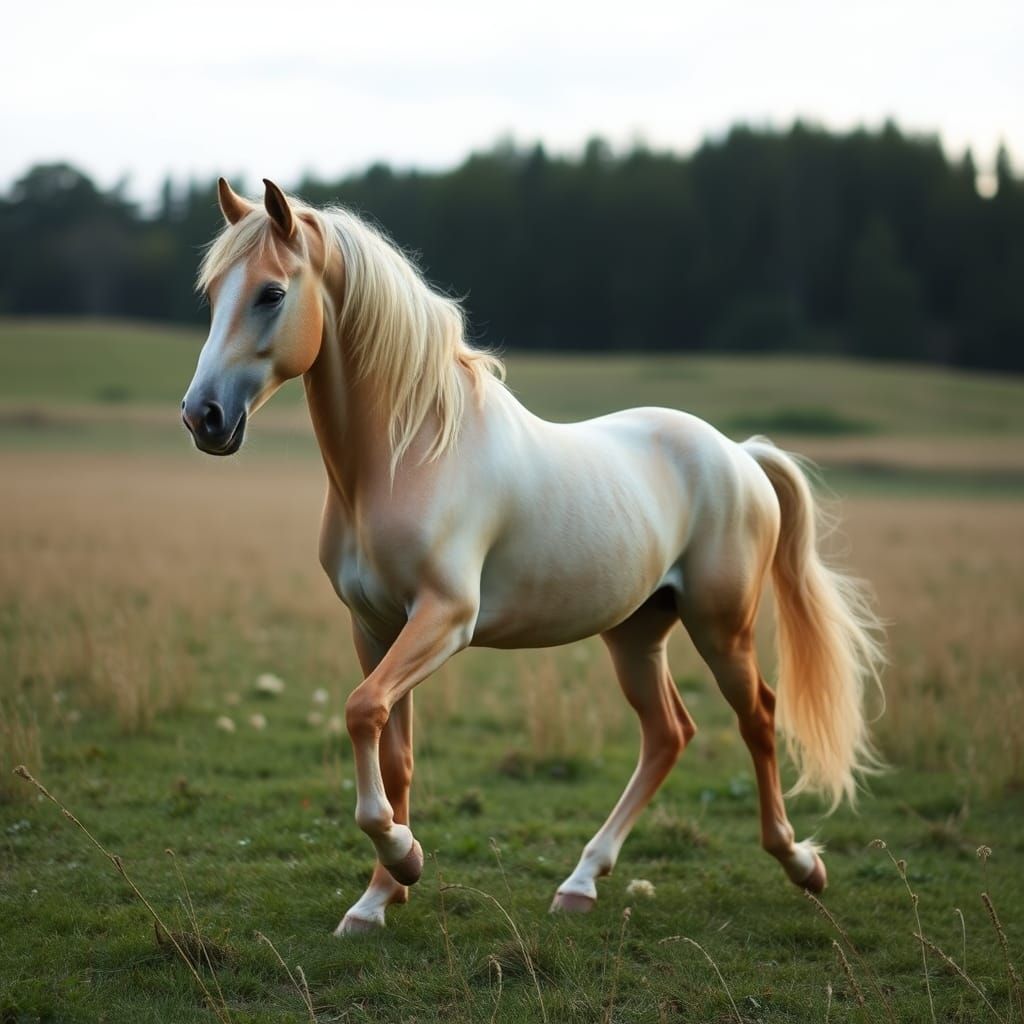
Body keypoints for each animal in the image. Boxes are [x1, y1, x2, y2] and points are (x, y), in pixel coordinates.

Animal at [182, 178, 884, 935]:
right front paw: (378, 898)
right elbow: (392, 752)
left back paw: (800, 863)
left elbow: (361, 713)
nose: (203, 417)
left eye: (271, 293)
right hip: (637, 632)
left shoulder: (445, 619)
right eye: (213, 291)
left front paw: (403, 857)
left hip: (721, 626)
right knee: (668, 733)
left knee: (757, 717)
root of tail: (740, 454)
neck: (406, 455)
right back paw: (581, 882)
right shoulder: (374, 627)